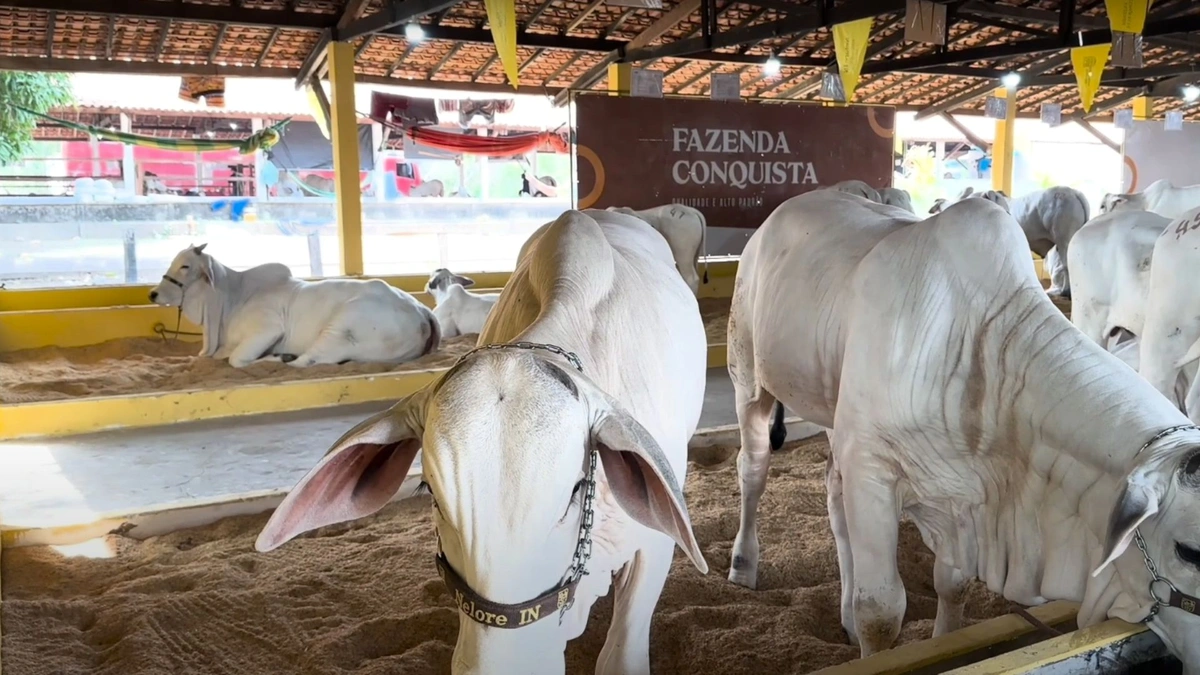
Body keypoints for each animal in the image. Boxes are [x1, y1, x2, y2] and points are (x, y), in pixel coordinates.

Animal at [148, 242, 441, 367]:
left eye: (185, 266)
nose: (152, 294)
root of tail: (421, 311)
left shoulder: (267, 329)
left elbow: (236, 360)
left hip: (342, 327)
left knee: (306, 361)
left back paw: (286, 358)